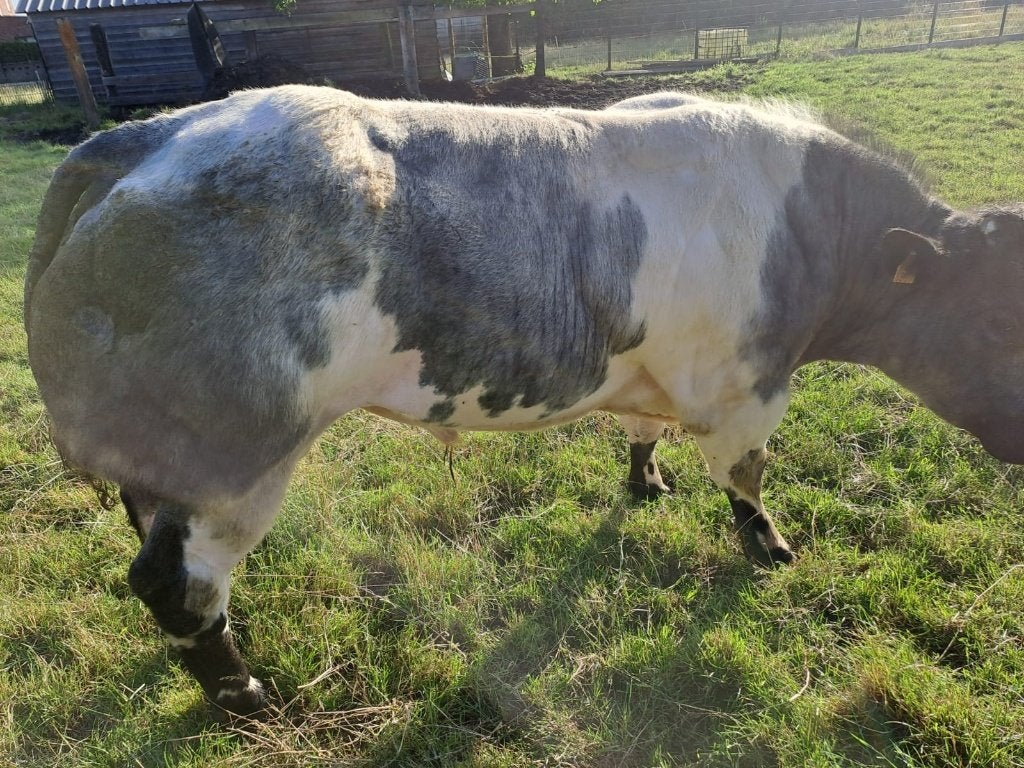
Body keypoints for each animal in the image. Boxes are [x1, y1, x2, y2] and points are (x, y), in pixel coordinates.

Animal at [24, 85, 1024, 716]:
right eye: (993, 322)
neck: (810, 228)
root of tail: (140, 139)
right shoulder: (746, 387)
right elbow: (747, 481)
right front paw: (771, 548)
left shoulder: (655, 373)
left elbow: (642, 435)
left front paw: (645, 484)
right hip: (230, 453)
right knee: (174, 585)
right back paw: (246, 698)